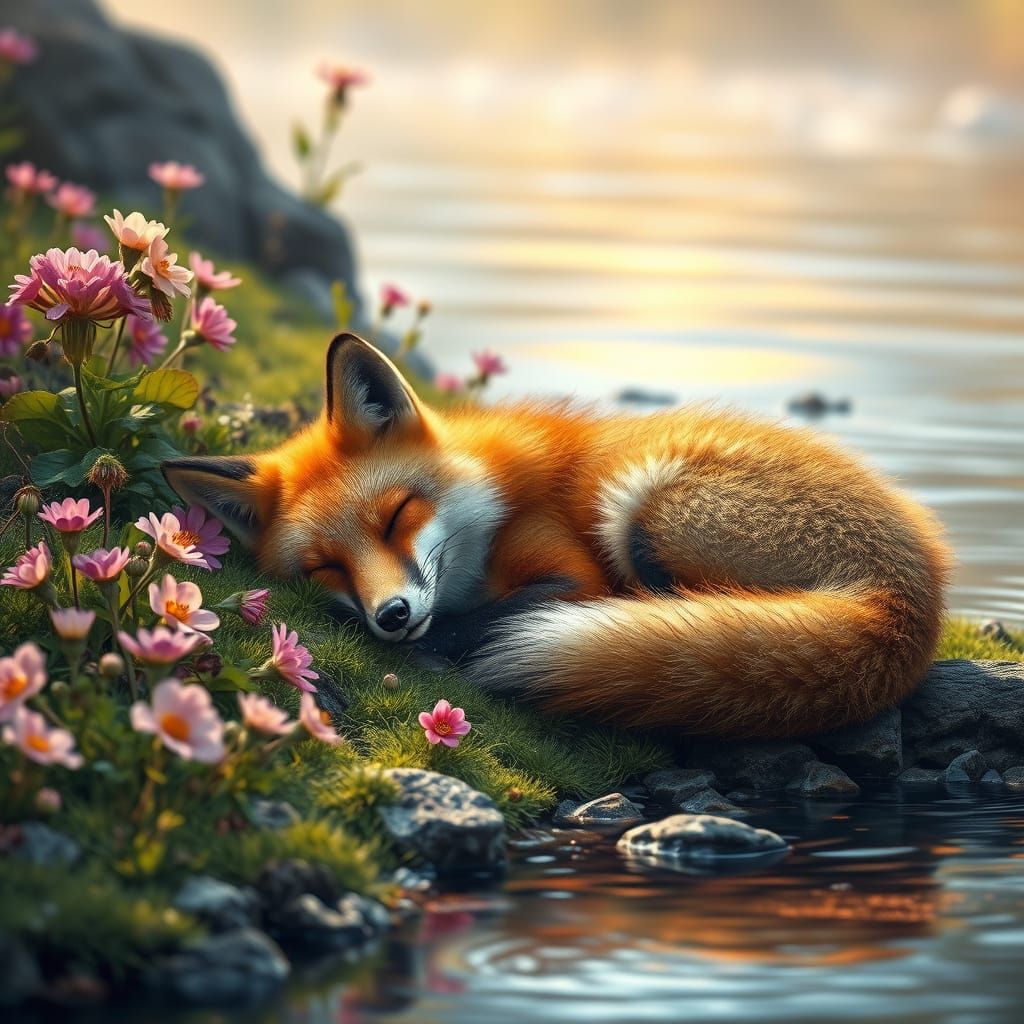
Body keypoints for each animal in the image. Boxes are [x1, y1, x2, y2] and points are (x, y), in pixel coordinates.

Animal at [162, 333, 951, 738]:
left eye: (395, 515)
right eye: (326, 567)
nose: (392, 616)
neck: (493, 508)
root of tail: (912, 598)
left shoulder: (573, 572)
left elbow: (495, 617)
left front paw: (445, 646)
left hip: (645, 506)